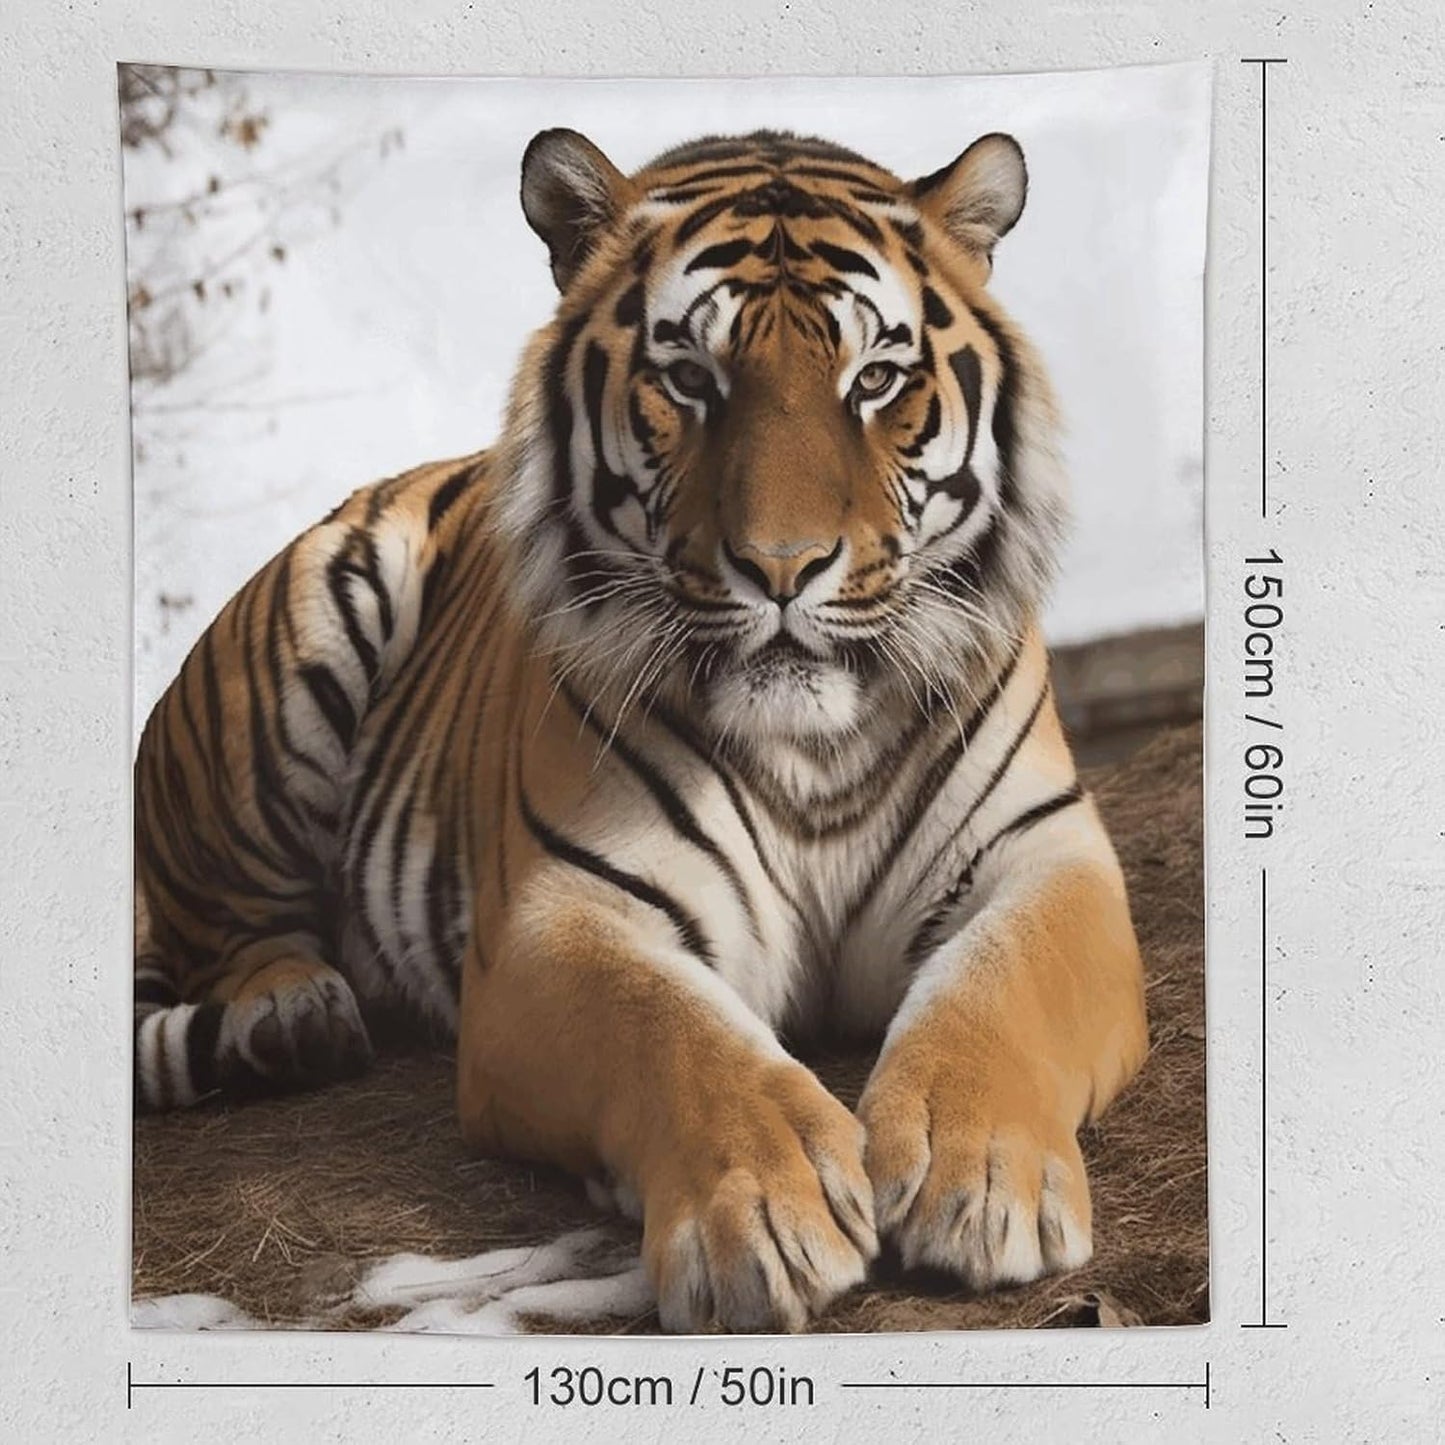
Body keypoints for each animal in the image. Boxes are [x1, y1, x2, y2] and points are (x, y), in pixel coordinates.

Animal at [133, 125, 1149, 1333]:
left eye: (874, 379)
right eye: (689, 379)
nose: (781, 568)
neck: (815, 752)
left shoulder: (1045, 855)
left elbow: (999, 985)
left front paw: (982, 1176)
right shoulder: (560, 914)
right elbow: (673, 1032)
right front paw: (766, 1211)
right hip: (288, 662)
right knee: (228, 934)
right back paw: (290, 1013)